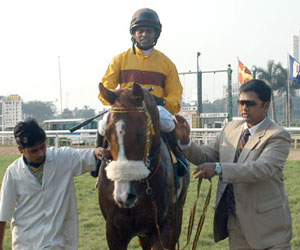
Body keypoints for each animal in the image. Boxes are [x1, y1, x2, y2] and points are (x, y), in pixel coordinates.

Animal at [98, 83, 190, 249]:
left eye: (141, 134)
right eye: (107, 134)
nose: (123, 195)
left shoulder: (163, 227)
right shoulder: (113, 231)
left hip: (178, 211)